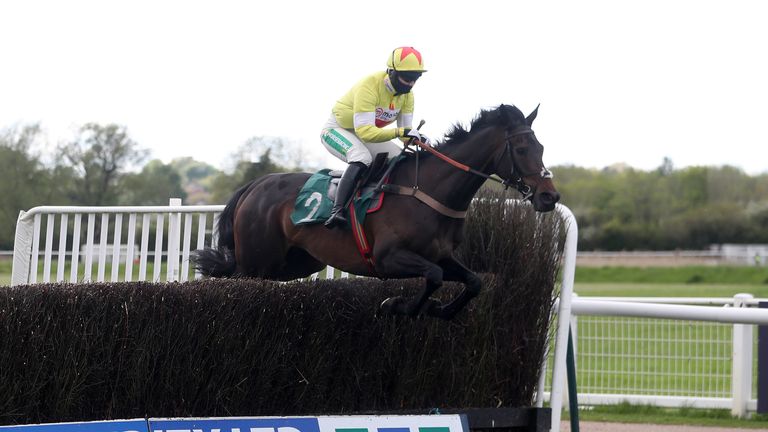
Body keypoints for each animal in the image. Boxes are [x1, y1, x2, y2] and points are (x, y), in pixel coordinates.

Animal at [195, 104, 560, 318]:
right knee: (234, 281)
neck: (428, 191)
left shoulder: (442, 255)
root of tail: (256, 185)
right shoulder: (388, 257)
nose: (549, 196)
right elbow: (433, 277)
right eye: (522, 148)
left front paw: (440, 310)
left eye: (542, 147)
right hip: (256, 262)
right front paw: (398, 305)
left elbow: (474, 282)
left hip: (296, 262)